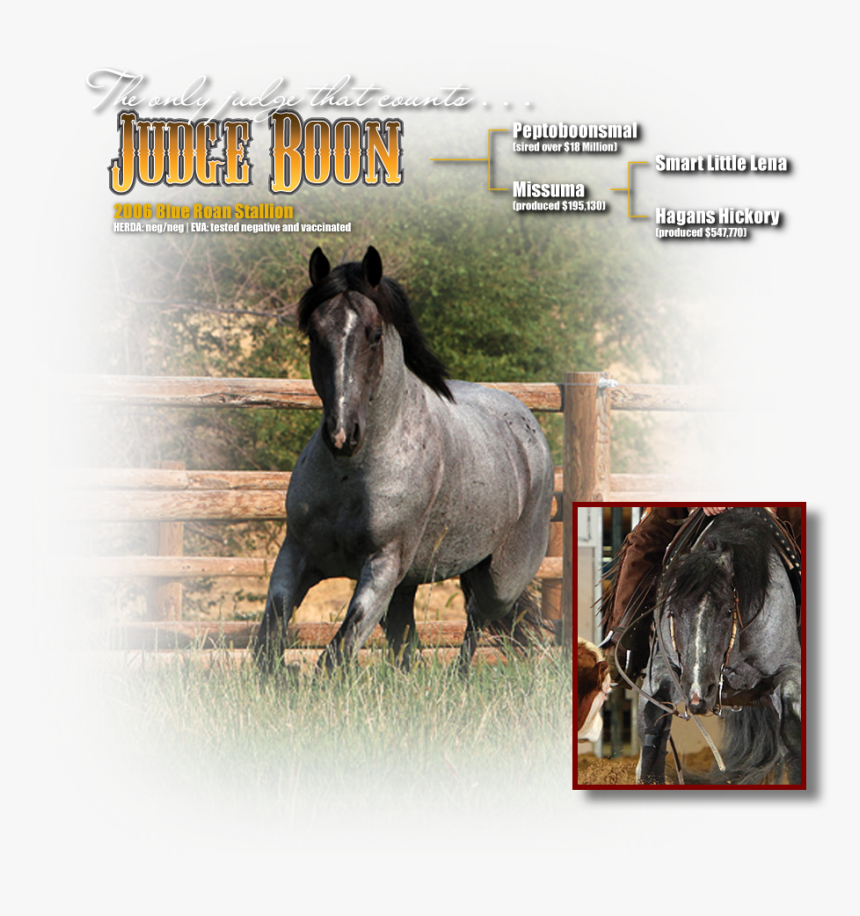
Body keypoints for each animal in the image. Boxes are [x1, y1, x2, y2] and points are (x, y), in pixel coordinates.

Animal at [254, 246, 554, 675]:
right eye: (314, 333)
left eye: (375, 334)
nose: (342, 434)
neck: (351, 476)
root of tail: (526, 425)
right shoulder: (296, 553)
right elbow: (269, 641)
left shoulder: (382, 566)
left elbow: (337, 651)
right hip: (411, 582)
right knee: (407, 638)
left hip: (500, 579)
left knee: (478, 620)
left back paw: (460, 678)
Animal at [636, 508, 802, 785]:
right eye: (674, 611)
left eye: (727, 611)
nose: (698, 693)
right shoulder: (663, 668)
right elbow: (654, 720)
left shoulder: (791, 669)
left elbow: (792, 730)